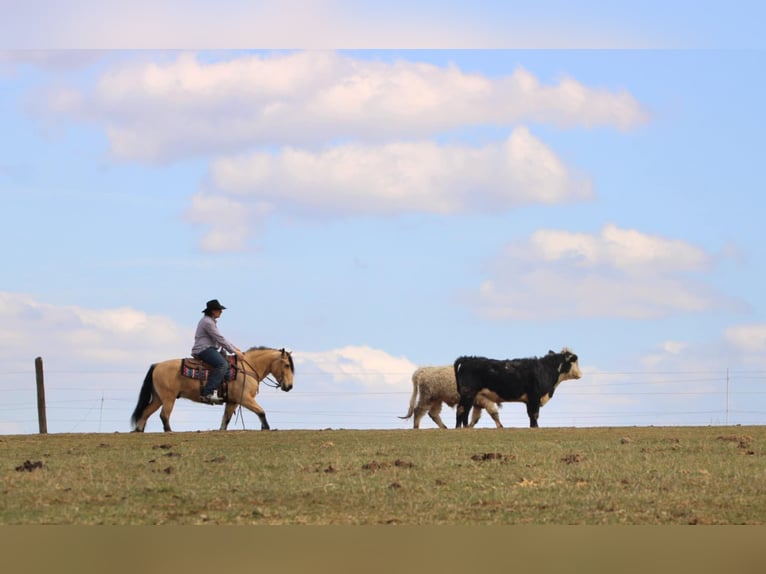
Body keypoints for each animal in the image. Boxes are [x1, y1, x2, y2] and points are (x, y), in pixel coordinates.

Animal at [131, 346, 294, 432]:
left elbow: (225, 420)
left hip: (158, 399)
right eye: (287, 365)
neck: (247, 369)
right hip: (168, 398)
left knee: (145, 413)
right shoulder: (245, 399)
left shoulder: (233, 402)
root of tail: (157, 365)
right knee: (164, 416)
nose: (289, 386)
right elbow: (261, 412)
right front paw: (266, 428)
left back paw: (139, 431)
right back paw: (169, 431)